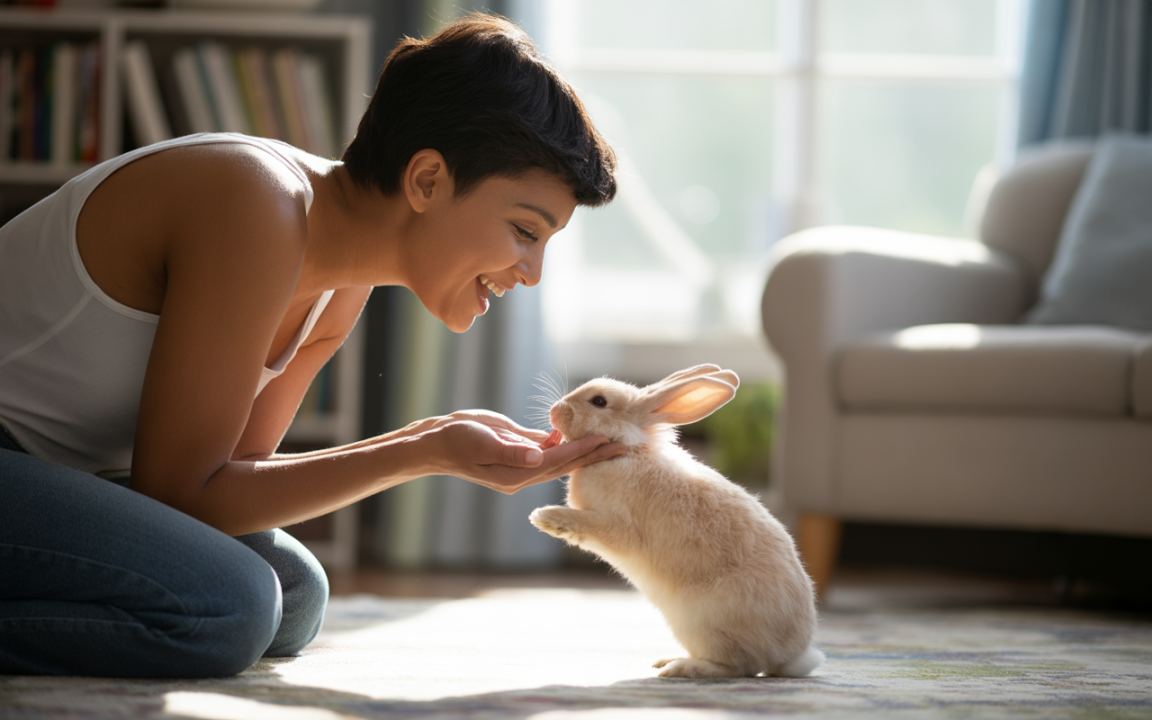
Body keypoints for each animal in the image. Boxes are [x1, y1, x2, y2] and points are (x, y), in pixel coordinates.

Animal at [529, 364, 824, 679]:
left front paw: (544, 518)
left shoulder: (618, 526)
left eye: (599, 401)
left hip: (702, 624)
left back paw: (677, 668)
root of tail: (790, 655)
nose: (554, 411)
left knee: (737, 667)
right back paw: (668, 661)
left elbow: (587, 524)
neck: (627, 450)